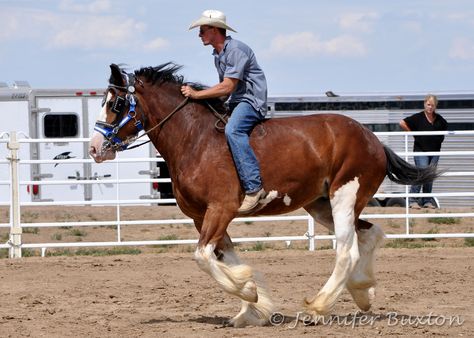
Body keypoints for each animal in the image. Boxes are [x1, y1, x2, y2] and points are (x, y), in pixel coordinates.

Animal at [88, 63, 436, 328]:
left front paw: (249, 292)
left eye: (116, 104)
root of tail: (373, 140)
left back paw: (318, 307)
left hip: (344, 198)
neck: (195, 142)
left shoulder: (221, 209)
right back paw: (362, 293)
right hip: (321, 205)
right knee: (369, 234)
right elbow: (223, 257)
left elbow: (203, 257)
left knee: (347, 251)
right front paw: (253, 306)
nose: (94, 148)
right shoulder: (202, 217)